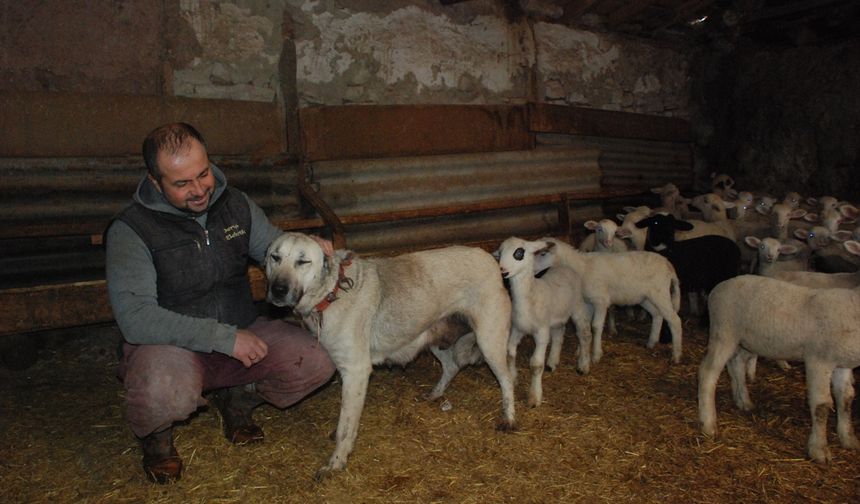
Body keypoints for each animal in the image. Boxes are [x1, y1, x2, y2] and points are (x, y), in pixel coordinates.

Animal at [498, 238, 592, 408]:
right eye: (500, 253)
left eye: (519, 253)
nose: (502, 270)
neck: (531, 295)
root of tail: (563, 267)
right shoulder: (518, 328)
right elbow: (510, 353)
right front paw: (514, 378)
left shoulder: (541, 332)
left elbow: (536, 365)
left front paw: (534, 397)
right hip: (557, 316)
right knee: (559, 334)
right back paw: (552, 362)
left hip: (577, 305)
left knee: (584, 333)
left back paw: (583, 365)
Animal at [528, 238, 680, 364]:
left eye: (543, 254)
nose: (531, 270)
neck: (582, 268)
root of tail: (669, 264)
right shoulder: (588, 302)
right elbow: (585, 325)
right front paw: (580, 351)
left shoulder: (600, 300)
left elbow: (596, 326)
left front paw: (596, 355)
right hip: (645, 297)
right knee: (657, 315)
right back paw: (651, 343)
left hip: (660, 293)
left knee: (674, 320)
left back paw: (676, 355)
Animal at [700, 276, 860, 464]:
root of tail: (719, 287)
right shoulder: (818, 359)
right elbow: (821, 405)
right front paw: (819, 449)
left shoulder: (842, 365)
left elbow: (846, 399)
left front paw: (848, 438)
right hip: (723, 332)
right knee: (707, 372)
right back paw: (708, 423)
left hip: (743, 340)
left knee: (737, 364)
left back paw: (744, 401)